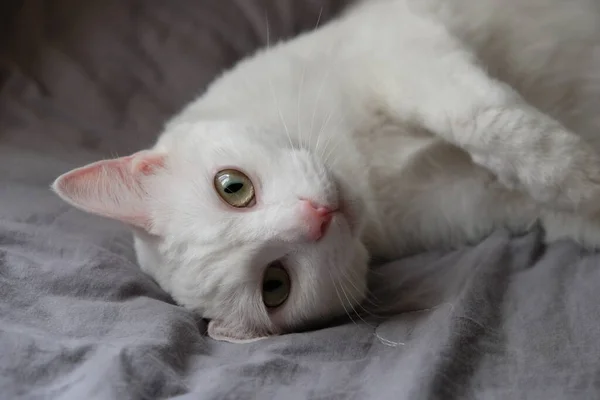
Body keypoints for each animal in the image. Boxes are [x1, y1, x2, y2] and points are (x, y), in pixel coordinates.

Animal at [50, 0, 600, 344]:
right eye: (275, 285)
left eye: (232, 186)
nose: (316, 215)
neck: (369, 177)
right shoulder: (473, 202)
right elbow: (550, 208)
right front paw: (590, 195)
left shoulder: (403, 49)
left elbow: (489, 123)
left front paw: (583, 174)